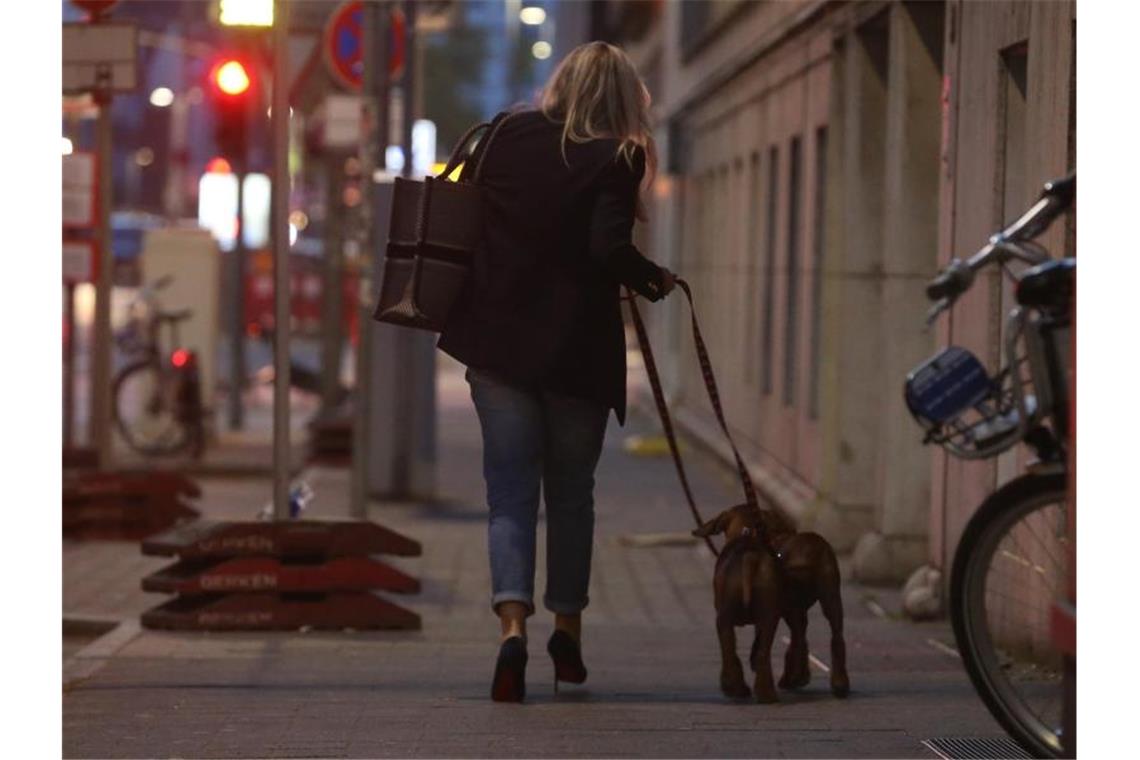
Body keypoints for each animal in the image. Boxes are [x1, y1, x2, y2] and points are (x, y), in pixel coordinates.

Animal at [688, 501, 852, 706]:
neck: (747, 534)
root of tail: (749, 556)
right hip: (820, 601)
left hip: (737, 617)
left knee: (738, 651)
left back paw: (746, 689)